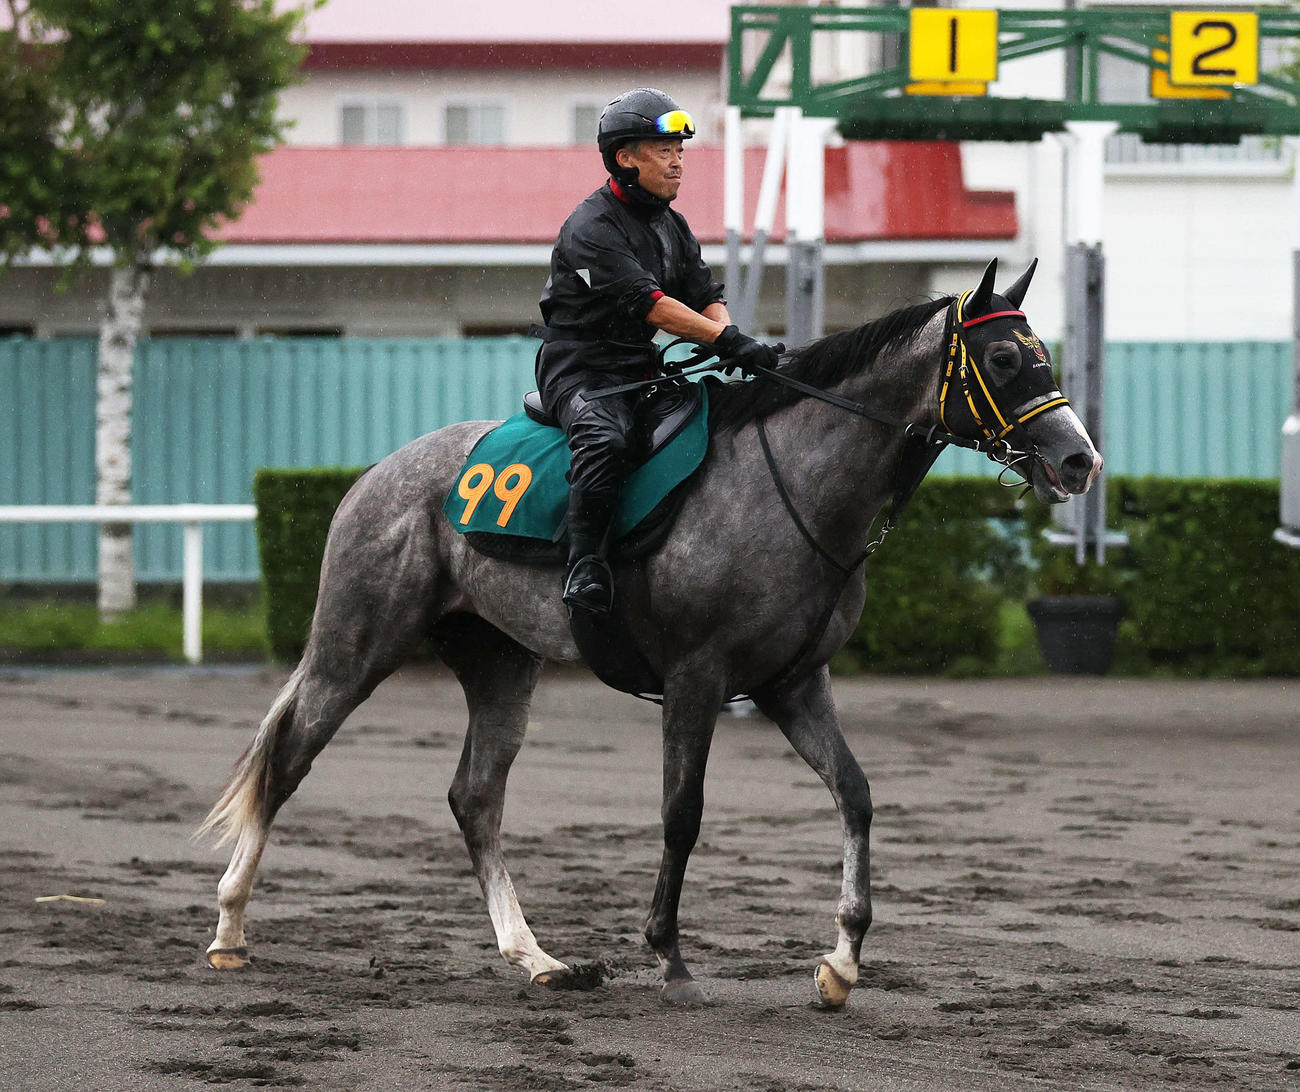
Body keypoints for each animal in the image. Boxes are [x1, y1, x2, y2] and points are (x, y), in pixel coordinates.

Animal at [198, 258, 1100, 1009]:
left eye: (1043, 353)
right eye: (1005, 360)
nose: (1080, 460)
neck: (797, 485)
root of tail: (375, 477)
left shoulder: (793, 682)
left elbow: (855, 794)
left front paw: (841, 961)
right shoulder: (698, 678)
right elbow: (681, 812)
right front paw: (669, 956)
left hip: (501, 662)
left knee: (474, 797)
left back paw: (538, 958)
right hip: (355, 647)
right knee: (286, 762)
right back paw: (230, 928)